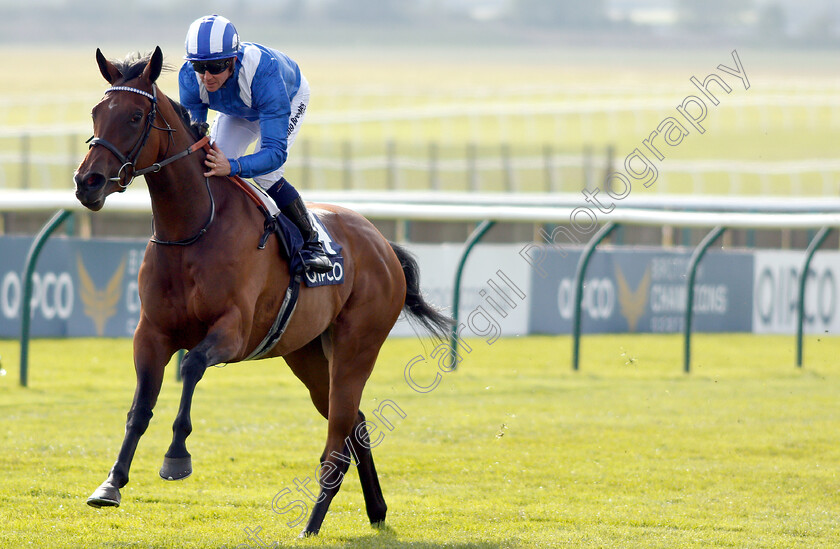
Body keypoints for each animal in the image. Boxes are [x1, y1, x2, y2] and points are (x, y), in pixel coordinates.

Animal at [74, 47, 452, 536]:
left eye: (136, 116)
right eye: (97, 112)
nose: (88, 182)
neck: (194, 228)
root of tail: (383, 244)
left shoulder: (233, 332)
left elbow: (191, 366)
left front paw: (176, 457)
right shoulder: (151, 333)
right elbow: (140, 406)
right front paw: (111, 483)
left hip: (357, 347)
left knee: (338, 439)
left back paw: (311, 523)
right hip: (308, 355)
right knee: (356, 423)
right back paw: (376, 510)